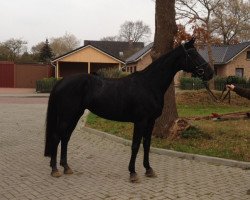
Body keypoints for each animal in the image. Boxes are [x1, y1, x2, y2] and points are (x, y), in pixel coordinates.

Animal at [44, 38, 213, 182]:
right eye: (193, 54)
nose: (210, 73)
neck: (149, 84)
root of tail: (61, 82)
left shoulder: (151, 121)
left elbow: (146, 144)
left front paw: (149, 169)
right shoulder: (140, 121)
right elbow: (135, 145)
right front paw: (133, 173)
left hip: (74, 115)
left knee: (65, 138)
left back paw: (66, 167)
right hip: (67, 116)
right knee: (57, 137)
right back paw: (55, 170)